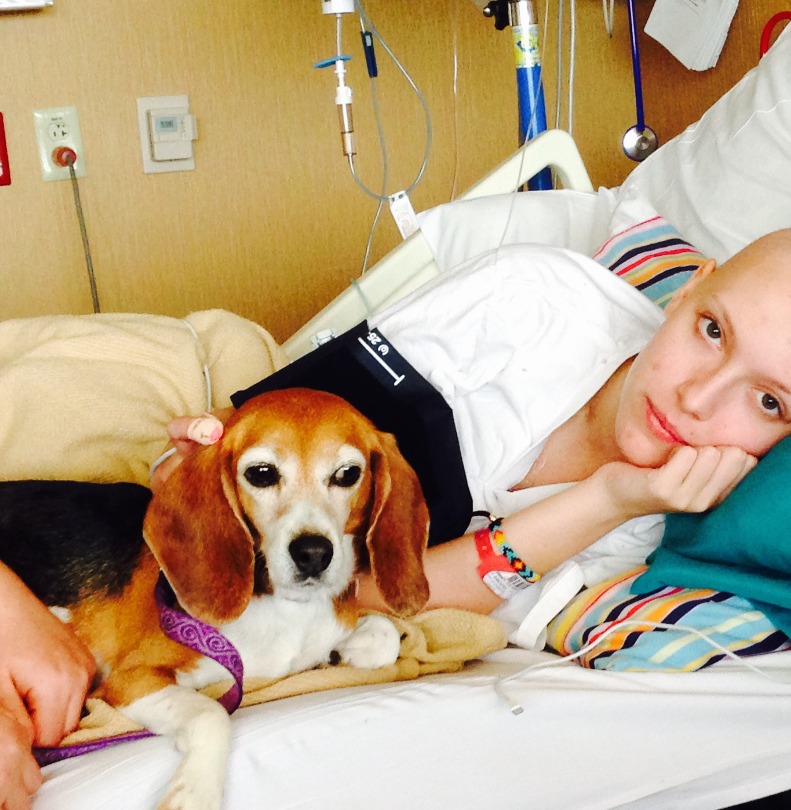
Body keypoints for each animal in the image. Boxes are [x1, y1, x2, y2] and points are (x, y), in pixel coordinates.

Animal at [0, 386, 430, 808]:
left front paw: (339, 654)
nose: (313, 553)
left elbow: (386, 635)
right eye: (261, 473)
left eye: (347, 474)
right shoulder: (132, 679)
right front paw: (192, 793)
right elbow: (211, 714)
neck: (286, 610)